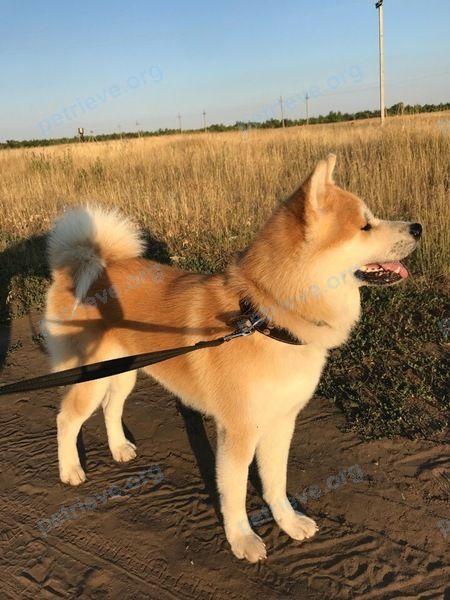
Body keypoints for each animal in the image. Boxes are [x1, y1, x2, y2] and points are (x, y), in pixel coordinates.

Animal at [43, 155, 422, 564]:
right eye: (366, 225)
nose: (418, 227)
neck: (266, 323)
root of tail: (83, 265)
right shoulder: (238, 432)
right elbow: (236, 492)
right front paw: (242, 539)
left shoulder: (281, 422)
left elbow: (275, 482)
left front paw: (288, 522)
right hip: (91, 379)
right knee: (67, 419)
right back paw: (70, 468)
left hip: (124, 372)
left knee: (111, 407)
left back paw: (118, 448)